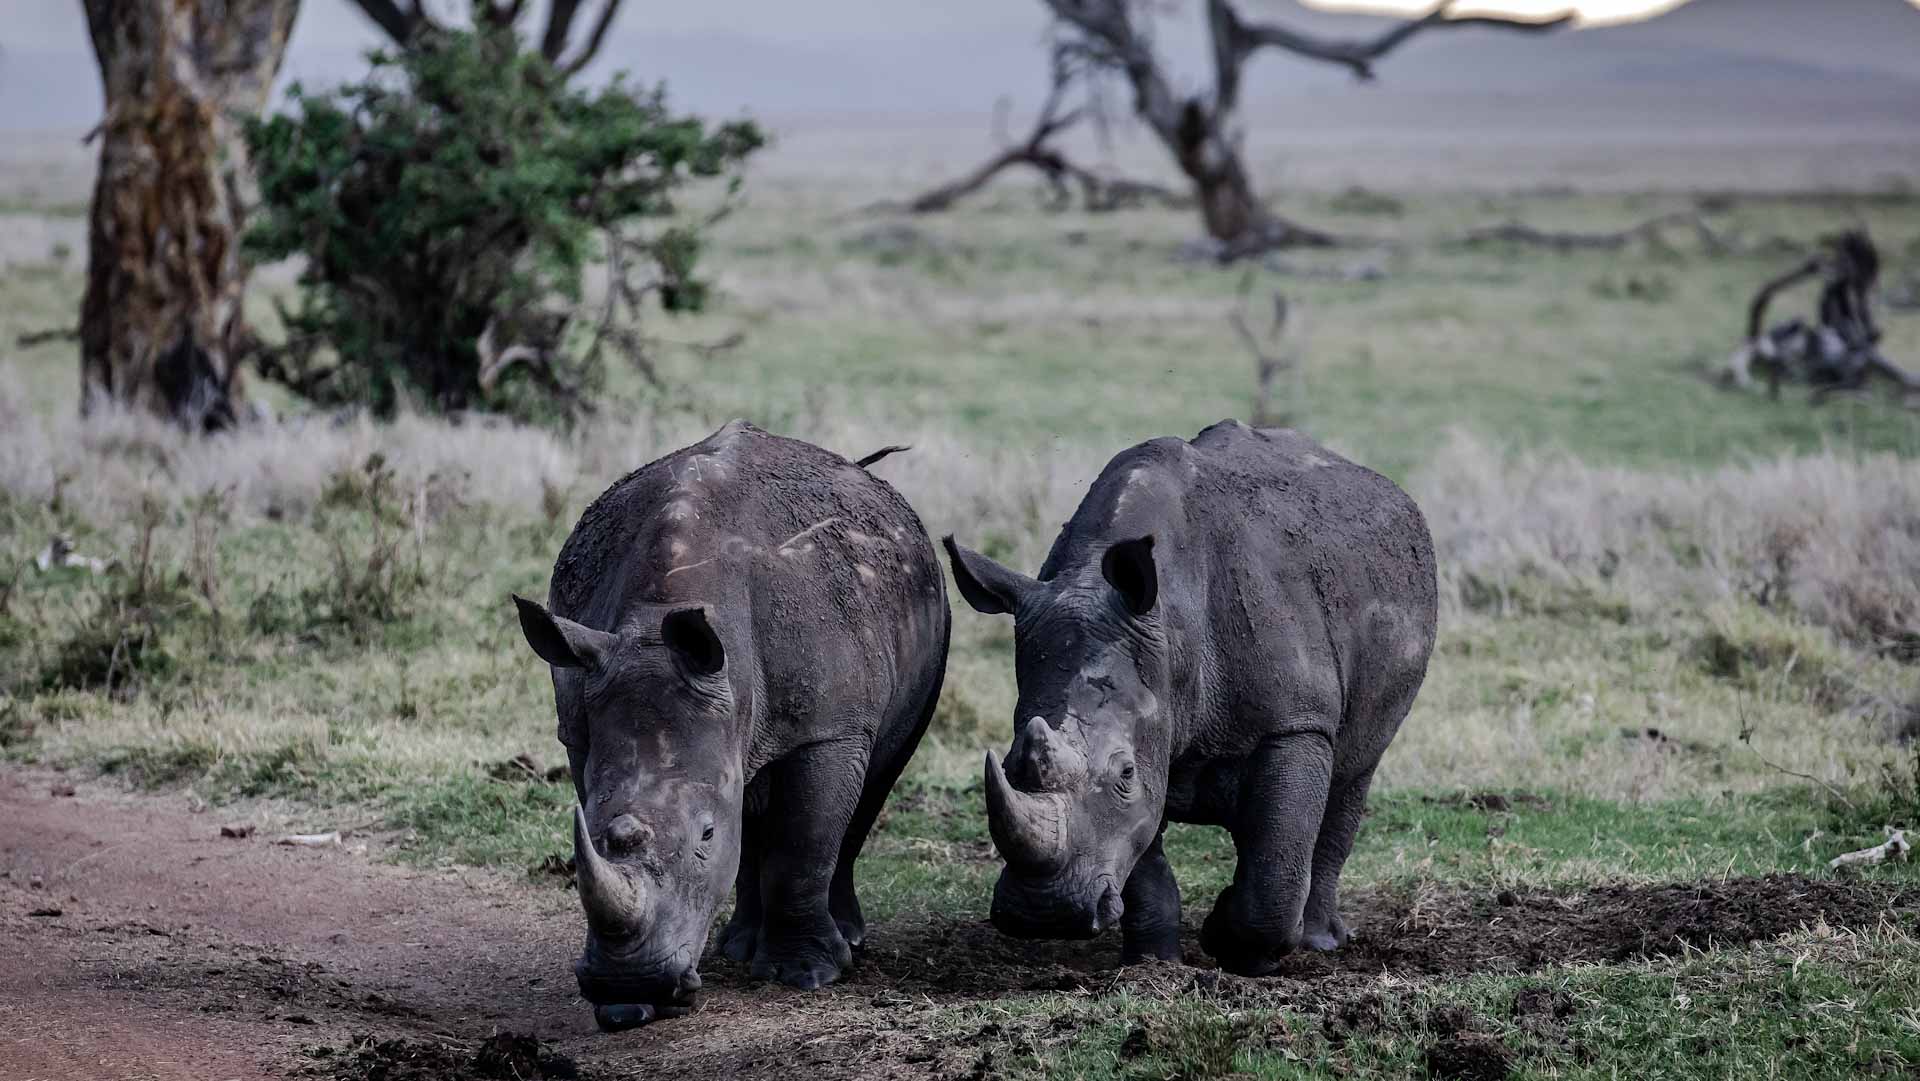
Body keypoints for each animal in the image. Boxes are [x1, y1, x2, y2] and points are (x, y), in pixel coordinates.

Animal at [514, 420, 949, 1029]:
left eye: (705, 834)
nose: (628, 981)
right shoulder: (581, 726)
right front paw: (629, 1004)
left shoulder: (828, 730)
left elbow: (803, 844)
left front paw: (804, 976)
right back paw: (738, 946)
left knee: (877, 778)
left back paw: (847, 940)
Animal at [943, 420, 1435, 975]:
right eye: (1008, 764)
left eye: (1124, 772)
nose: (1044, 914)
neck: (1172, 634)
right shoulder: (1150, 719)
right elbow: (1143, 853)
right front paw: (1153, 965)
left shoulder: (1295, 722)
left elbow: (1277, 861)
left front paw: (1235, 945)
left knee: (1355, 771)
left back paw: (1318, 941)